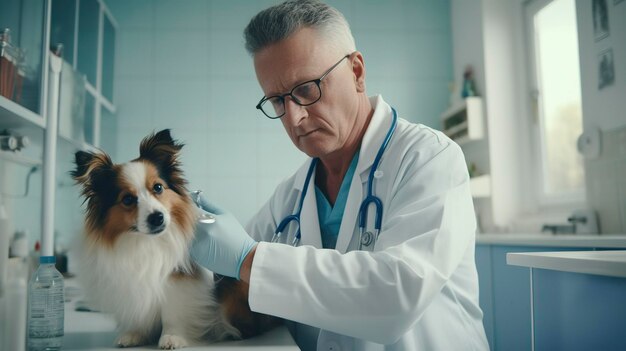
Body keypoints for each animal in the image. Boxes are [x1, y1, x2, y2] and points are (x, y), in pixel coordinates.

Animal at [70, 129, 278, 350]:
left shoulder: (179, 281)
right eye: (127, 199)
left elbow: (174, 312)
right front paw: (135, 334)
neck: (147, 242)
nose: (157, 217)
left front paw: (172, 337)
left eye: (158, 187)